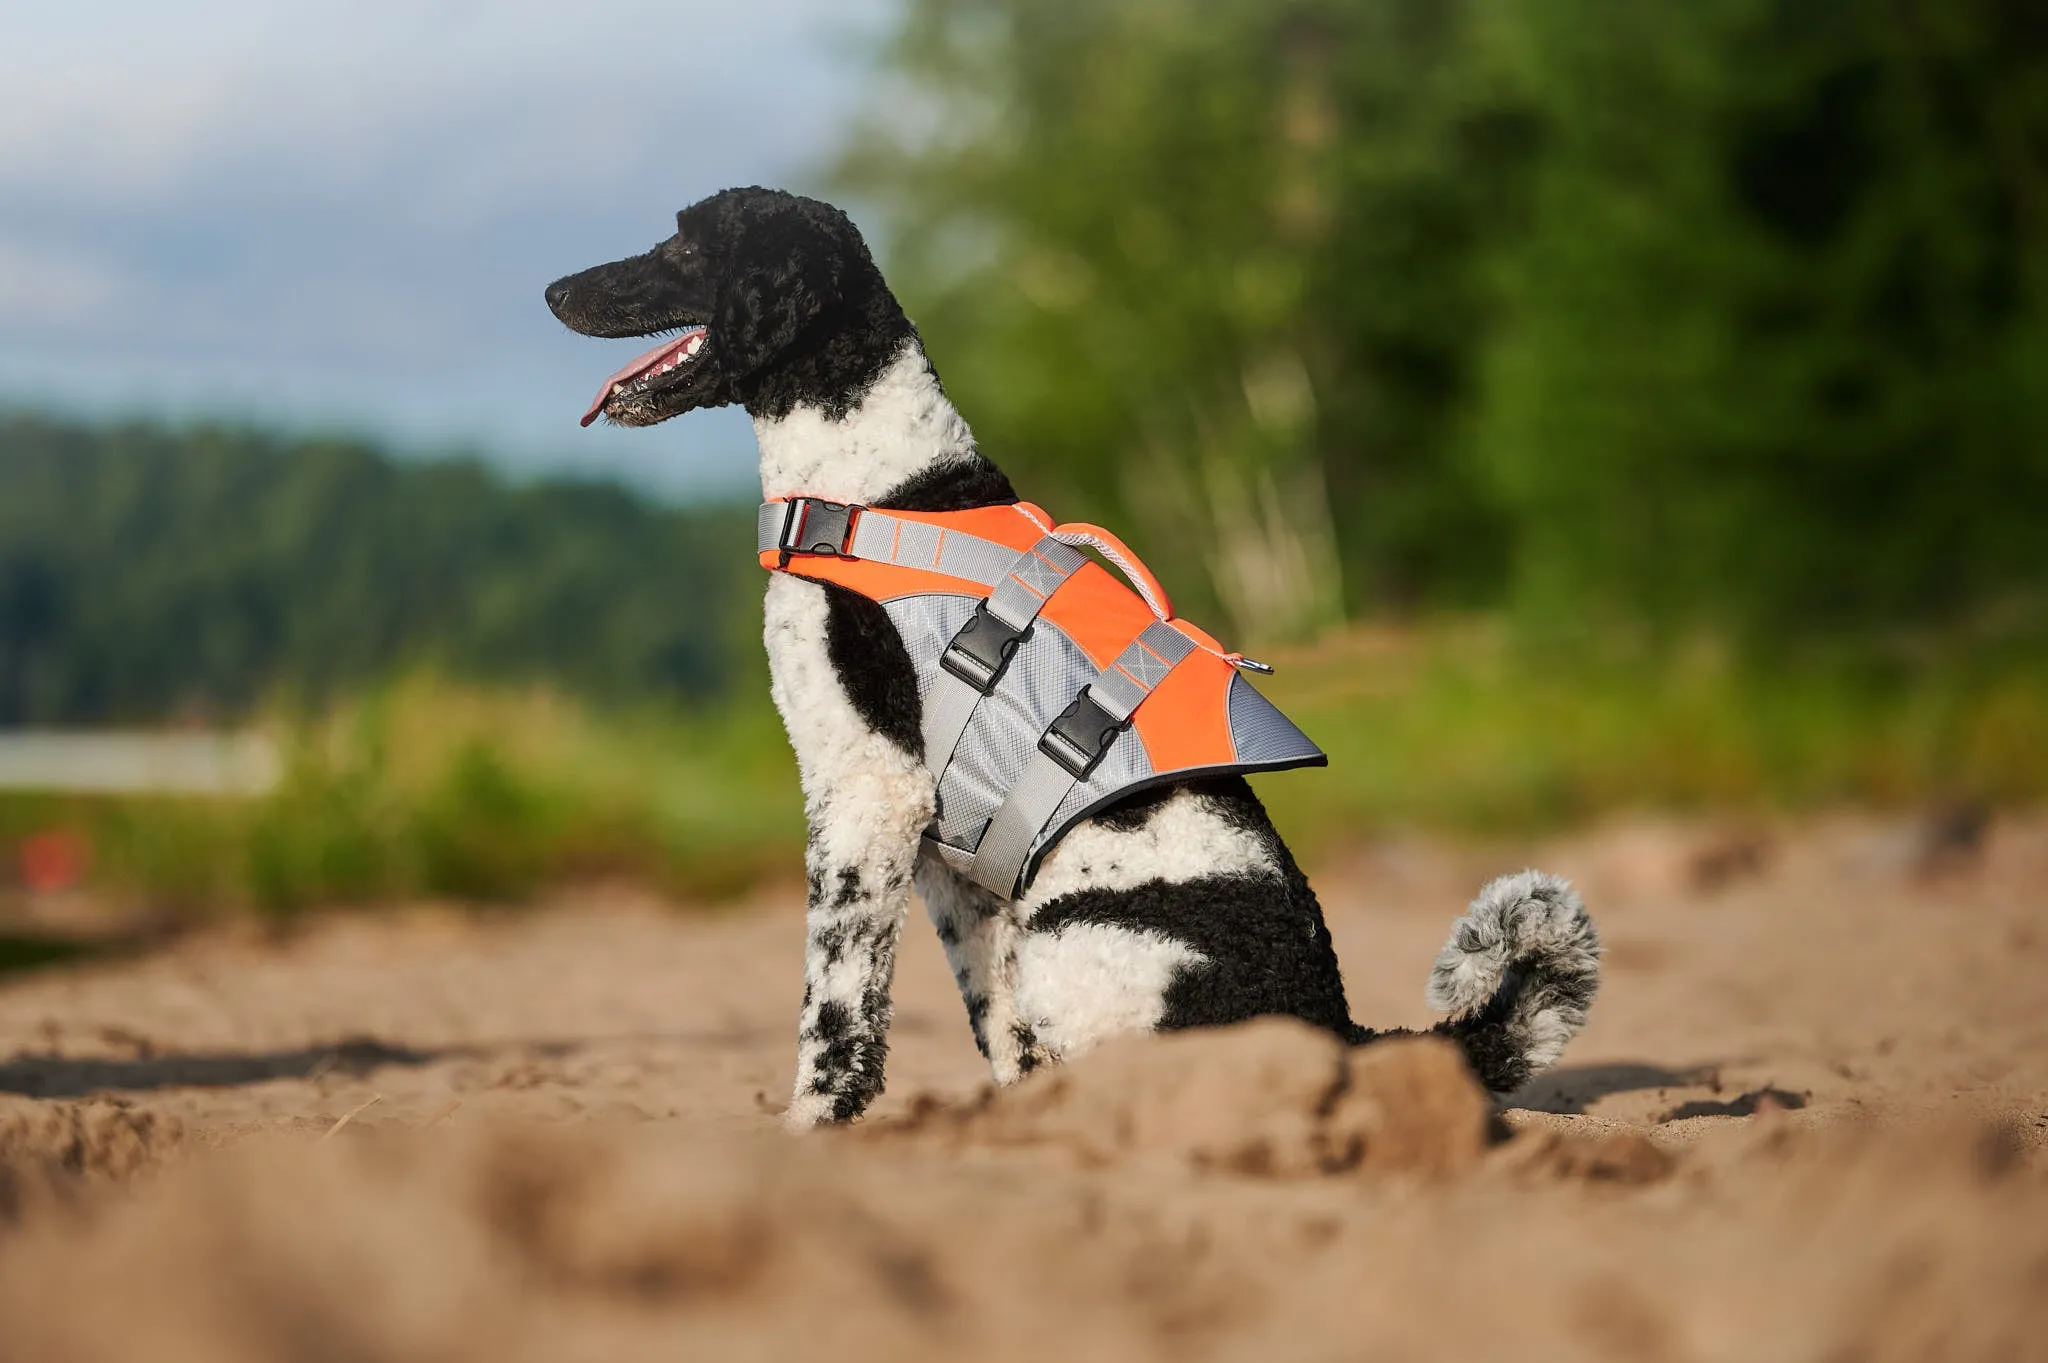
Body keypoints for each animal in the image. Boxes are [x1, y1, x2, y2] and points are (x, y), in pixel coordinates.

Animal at [548, 191, 1597, 1121]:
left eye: (686, 243)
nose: (554, 288)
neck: (879, 485)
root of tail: (1341, 1028)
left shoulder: (868, 793)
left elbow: (838, 1003)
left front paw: (815, 1127)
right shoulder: (953, 865)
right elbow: (995, 1027)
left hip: (1080, 939)